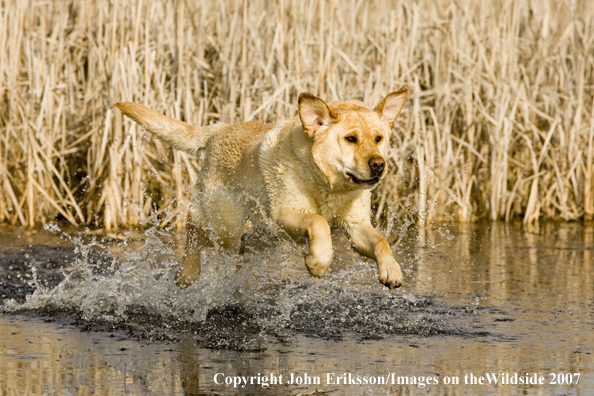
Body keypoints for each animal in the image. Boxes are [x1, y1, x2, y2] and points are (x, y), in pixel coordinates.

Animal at [113, 86, 404, 290]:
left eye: (379, 138)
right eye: (351, 139)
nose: (379, 165)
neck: (327, 185)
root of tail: (219, 129)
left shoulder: (357, 227)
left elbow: (381, 241)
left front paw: (392, 270)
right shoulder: (285, 212)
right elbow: (319, 221)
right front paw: (318, 262)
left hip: (264, 235)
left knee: (243, 244)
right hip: (227, 225)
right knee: (195, 225)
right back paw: (187, 273)